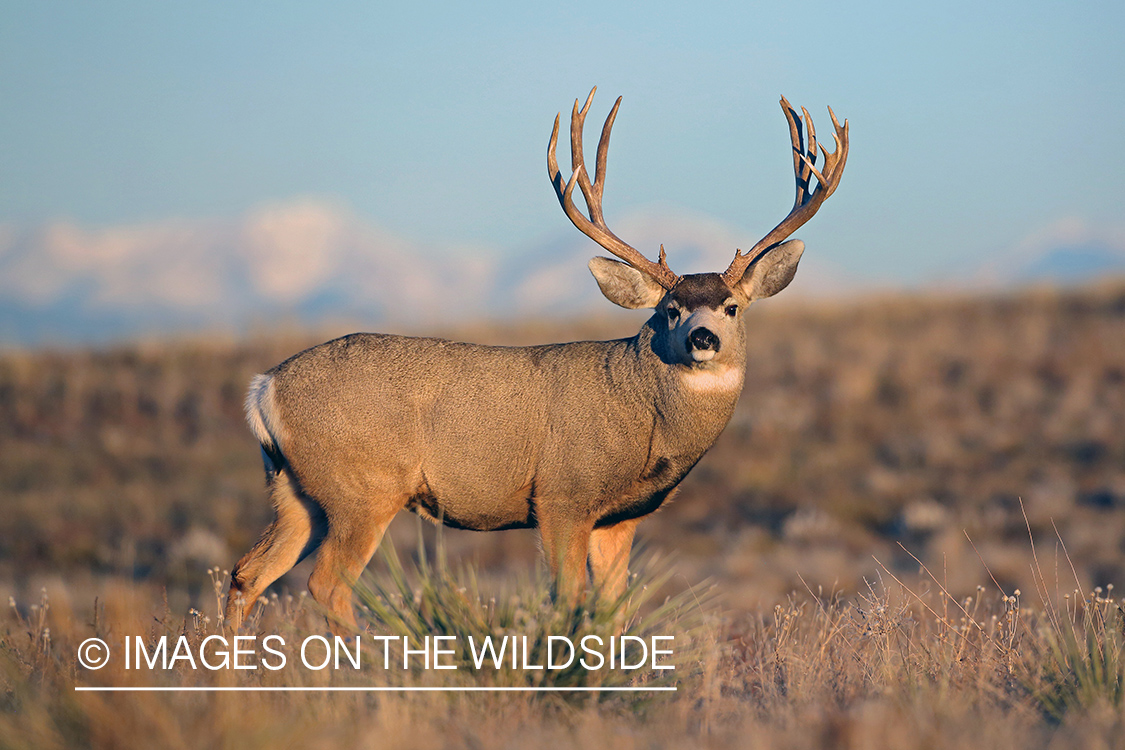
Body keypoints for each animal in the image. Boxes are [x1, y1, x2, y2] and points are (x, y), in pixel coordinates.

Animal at [223, 91, 846, 638]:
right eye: (670, 309)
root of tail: (264, 388)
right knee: (326, 584)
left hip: (297, 491)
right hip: (362, 488)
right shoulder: (561, 495)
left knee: (246, 573)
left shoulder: (618, 518)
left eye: (732, 306)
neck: (640, 413)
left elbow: (613, 609)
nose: (702, 337)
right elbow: (567, 599)